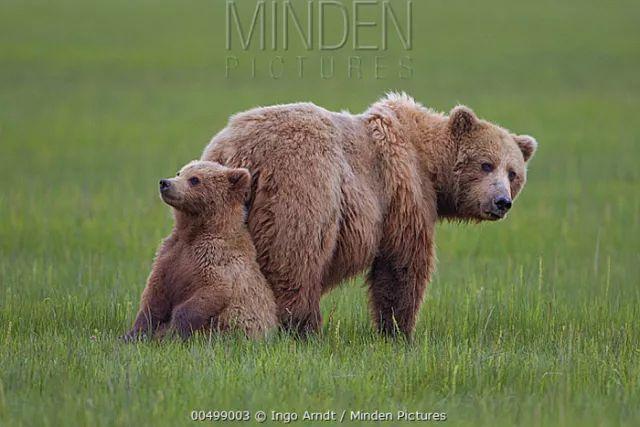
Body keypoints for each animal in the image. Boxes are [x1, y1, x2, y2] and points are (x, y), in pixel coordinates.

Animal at [123, 160, 278, 340]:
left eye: (195, 179)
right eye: (179, 173)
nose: (165, 183)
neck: (193, 232)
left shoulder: (214, 258)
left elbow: (211, 291)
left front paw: (173, 333)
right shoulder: (169, 255)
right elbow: (154, 295)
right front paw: (133, 334)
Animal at [202, 93, 537, 337]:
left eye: (513, 173)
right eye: (486, 164)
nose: (501, 202)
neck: (428, 162)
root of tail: (241, 152)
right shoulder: (404, 193)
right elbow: (402, 265)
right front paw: (398, 332)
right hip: (302, 186)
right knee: (294, 261)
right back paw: (302, 328)